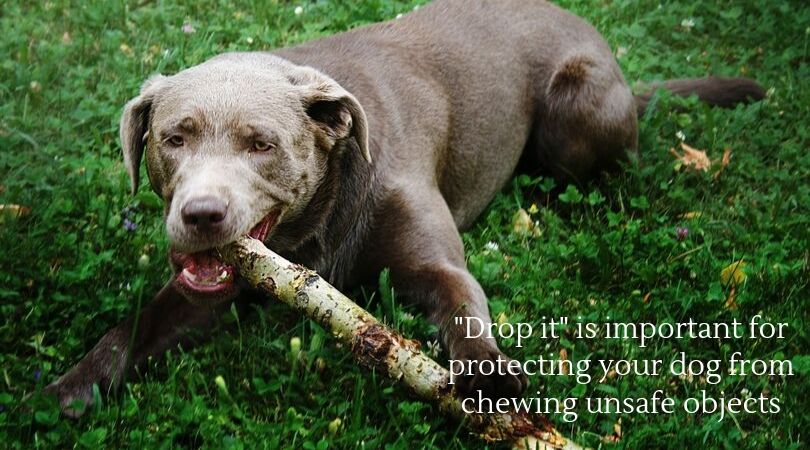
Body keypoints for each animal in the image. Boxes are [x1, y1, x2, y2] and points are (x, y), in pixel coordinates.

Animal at [45, 0, 764, 418]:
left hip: (577, 116)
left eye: (261, 143)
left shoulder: (434, 263)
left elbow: (461, 301)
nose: (200, 216)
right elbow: (129, 329)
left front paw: (487, 374)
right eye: (174, 138)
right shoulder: (207, 291)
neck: (314, 231)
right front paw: (66, 390)